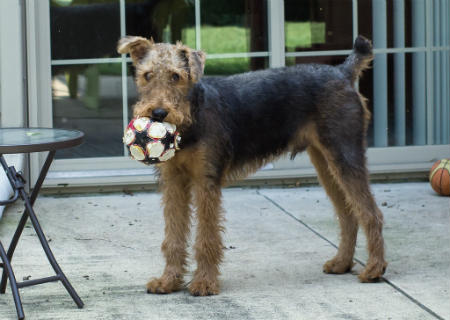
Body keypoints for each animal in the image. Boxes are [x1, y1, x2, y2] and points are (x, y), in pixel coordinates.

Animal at [116, 33, 386, 296]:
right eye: (147, 75)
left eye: (176, 76)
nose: (158, 113)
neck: (192, 115)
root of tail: (342, 72)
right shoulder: (173, 182)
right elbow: (173, 237)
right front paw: (168, 281)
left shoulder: (206, 182)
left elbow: (206, 237)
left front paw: (204, 283)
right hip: (326, 164)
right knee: (348, 215)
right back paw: (342, 263)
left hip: (345, 155)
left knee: (370, 213)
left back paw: (374, 269)